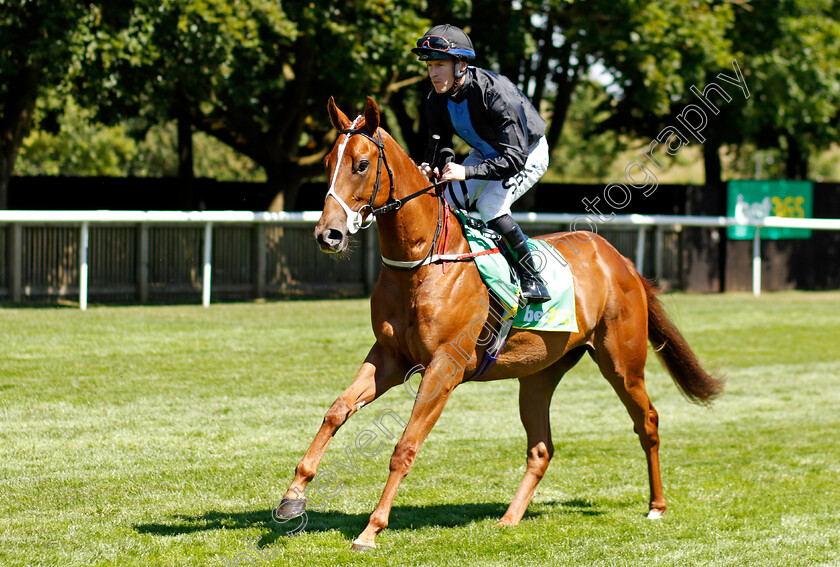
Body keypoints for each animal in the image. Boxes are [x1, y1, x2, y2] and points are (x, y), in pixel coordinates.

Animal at [276, 97, 720, 552]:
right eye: (328, 161)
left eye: (361, 164)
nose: (327, 234)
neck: (423, 261)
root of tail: (620, 260)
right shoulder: (389, 357)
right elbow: (336, 411)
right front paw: (293, 496)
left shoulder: (444, 367)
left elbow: (405, 446)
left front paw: (371, 529)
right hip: (540, 374)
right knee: (541, 448)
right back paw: (510, 517)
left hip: (622, 362)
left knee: (647, 421)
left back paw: (656, 506)